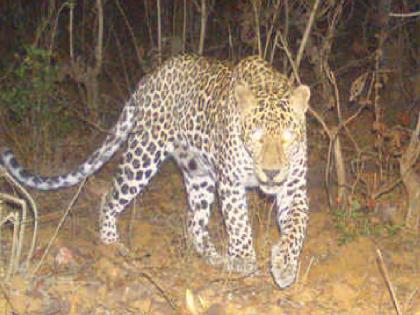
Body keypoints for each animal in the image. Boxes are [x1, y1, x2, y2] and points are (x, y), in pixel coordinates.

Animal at [0, 54, 308, 288]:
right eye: (256, 138)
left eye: (288, 137)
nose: (271, 173)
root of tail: (151, 76)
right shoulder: (231, 183)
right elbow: (239, 223)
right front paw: (244, 260)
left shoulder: (294, 188)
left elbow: (296, 228)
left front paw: (284, 266)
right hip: (144, 153)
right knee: (110, 195)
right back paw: (111, 244)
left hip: (198, 173)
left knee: (194, 221)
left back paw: (213, 257)